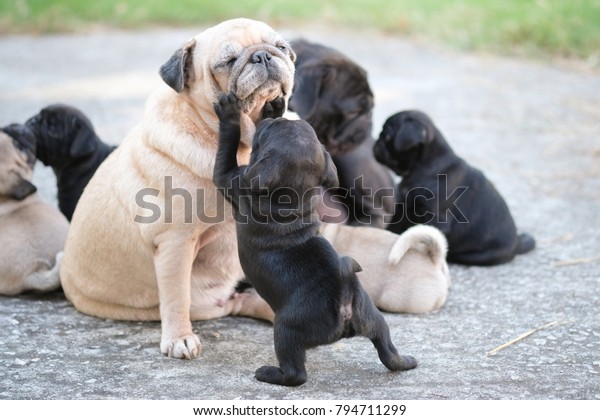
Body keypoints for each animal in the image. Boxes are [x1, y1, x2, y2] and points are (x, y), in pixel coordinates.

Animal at [212, 92, 418, 388]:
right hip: (373, 318)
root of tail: (344, 303)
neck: (292, 195)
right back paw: (406, 362)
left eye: (266, 134)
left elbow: (226, 148)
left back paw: (269, 374)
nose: (273, 116)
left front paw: (229, 113)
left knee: (296, 373)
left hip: (286, 329)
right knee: (386, 347)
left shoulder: (231, 179)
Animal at [376, 110, 536, 264]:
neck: (422, 166)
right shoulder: (403, 207)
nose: (376, 141)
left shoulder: (437, 219)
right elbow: (392, 227)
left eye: (386, 135)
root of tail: (517, 244)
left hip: (477, 256)